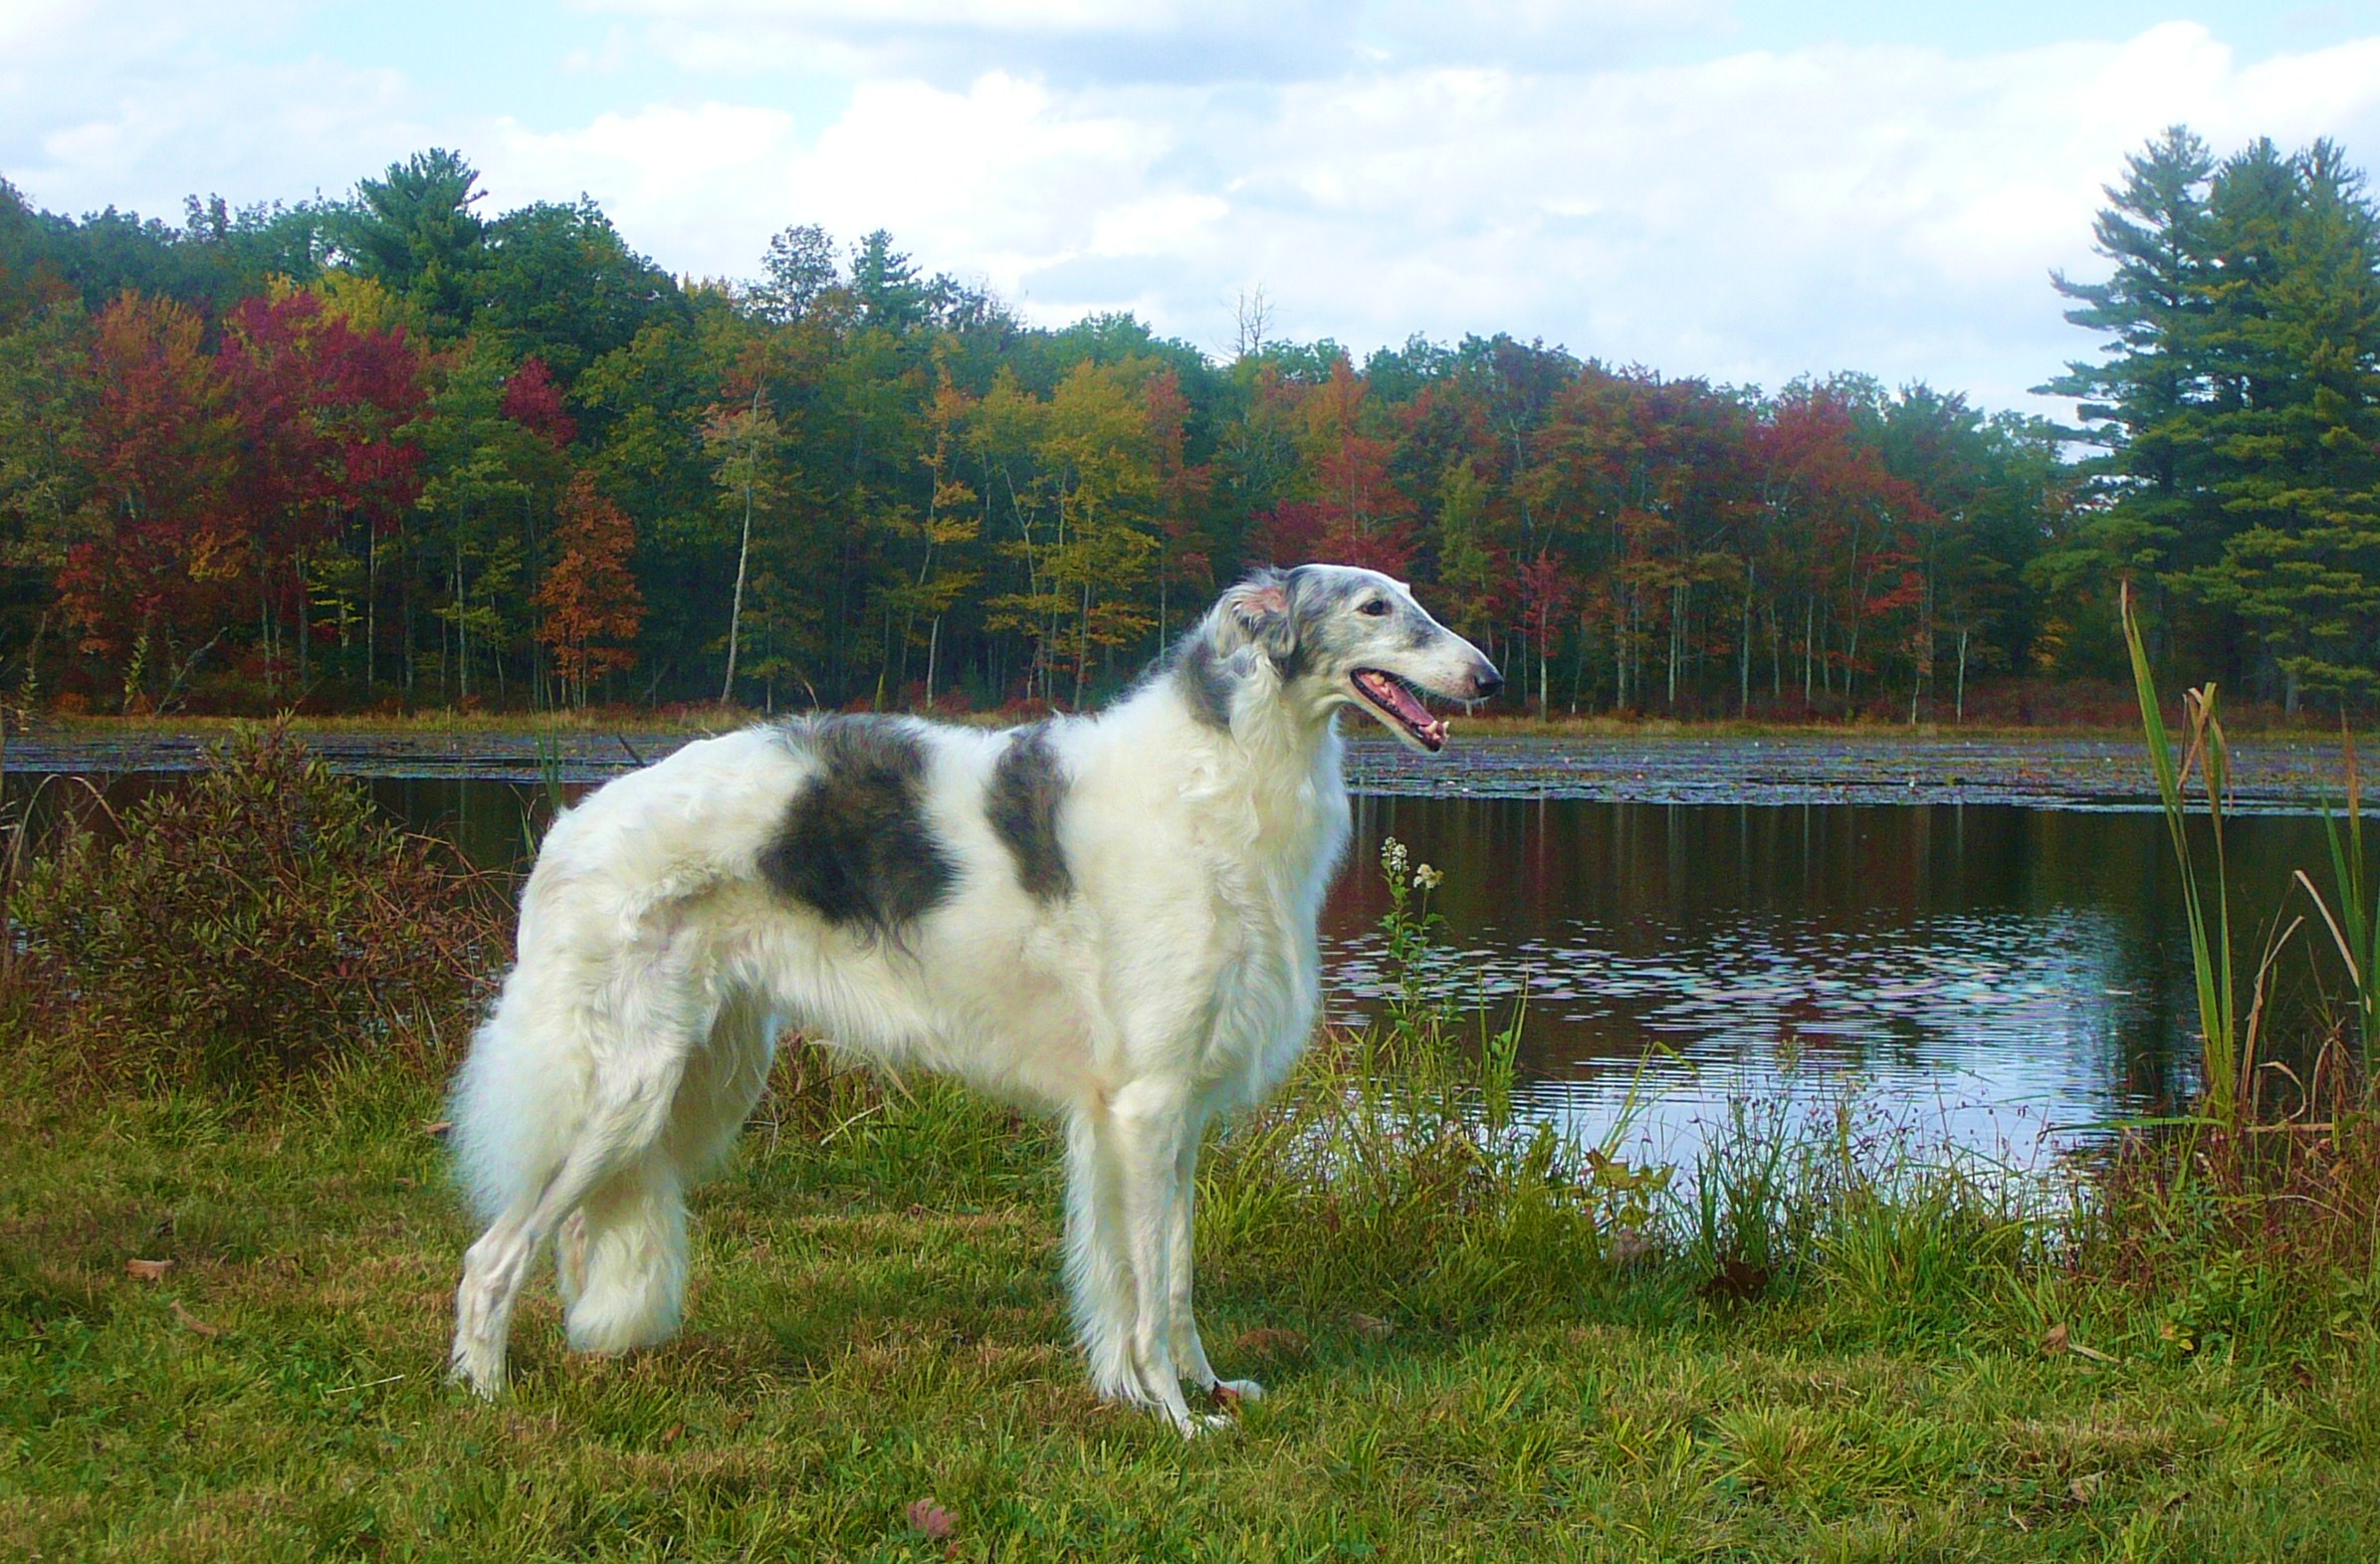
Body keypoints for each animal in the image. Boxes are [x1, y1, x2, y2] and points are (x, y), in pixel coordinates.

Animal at [440, 557, 1494, 1428]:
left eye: (1411, 595)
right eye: (1374, 606)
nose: (1489, 677)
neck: (1219, 774)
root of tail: (568, 830)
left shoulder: (1171, 1109)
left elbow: (1170, 1277)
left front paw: (1201, 1388)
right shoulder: (1145, 1101)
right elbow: (1148, 1291)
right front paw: (1174, 1414)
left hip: (698, 1074)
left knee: (578, 1226)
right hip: (626, 1084)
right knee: (491, 1257)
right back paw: (487, 1396)